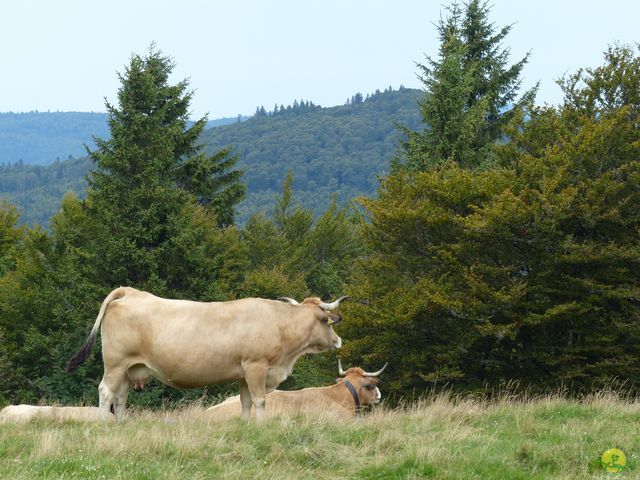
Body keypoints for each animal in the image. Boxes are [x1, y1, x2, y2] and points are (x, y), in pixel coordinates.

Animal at [67, 288, 348, 420]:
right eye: (327, 322)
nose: (339, 340)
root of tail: (130, 291)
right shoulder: (256, 367)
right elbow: (260, 401)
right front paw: (262, 425)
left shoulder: (243, 374)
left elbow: (245, 402)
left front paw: (247, 426)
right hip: (115, 364)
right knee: (106, 392)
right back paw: (104, 423)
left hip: (130, 368)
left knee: (121, 397)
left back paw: (122, 423)